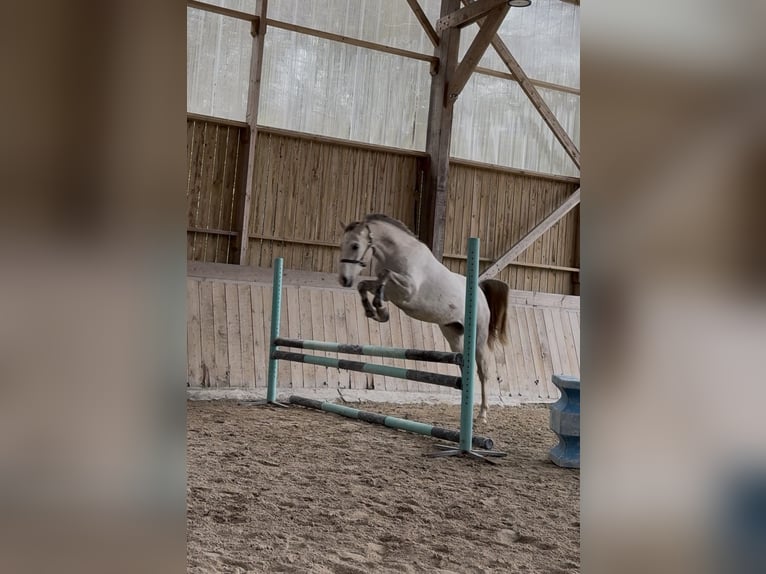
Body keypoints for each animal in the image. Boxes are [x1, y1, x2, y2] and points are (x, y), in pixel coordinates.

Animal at [337, 214, 509, 423]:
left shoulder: (408, 291)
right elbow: (365, 285)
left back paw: (482, 414)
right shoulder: (391, 292)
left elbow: (385, 276)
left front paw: (378, 307)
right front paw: (376, 312)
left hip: (479, 338)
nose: (344, 280)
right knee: (465, 368)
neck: (395, 253)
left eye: (355, 245)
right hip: (453, 335)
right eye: (342, 244)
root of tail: (479, 291)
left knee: (483, 371)